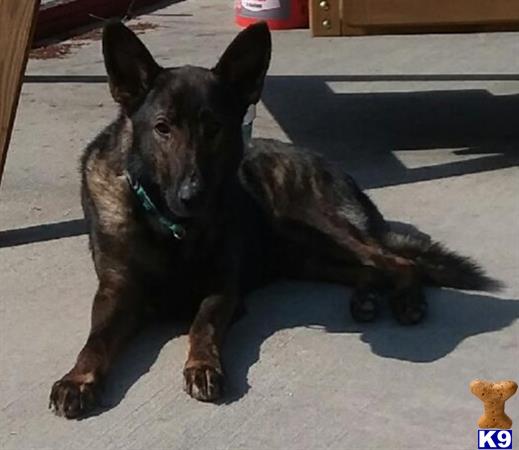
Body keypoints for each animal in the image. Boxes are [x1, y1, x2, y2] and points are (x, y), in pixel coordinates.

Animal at [48, 22, 500, 418]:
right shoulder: (116, 291)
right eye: (162, 128)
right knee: (368, 268)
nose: (193, 196)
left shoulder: (223, 290)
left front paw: (203, 365)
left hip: (318, 224)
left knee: (397, 261)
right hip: (305, 255)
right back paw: (366, 297)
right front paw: (77, 379)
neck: (169, 227)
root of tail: (326, 163)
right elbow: (95, 341)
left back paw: (406, 299)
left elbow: (201, 326)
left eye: (214, 127)